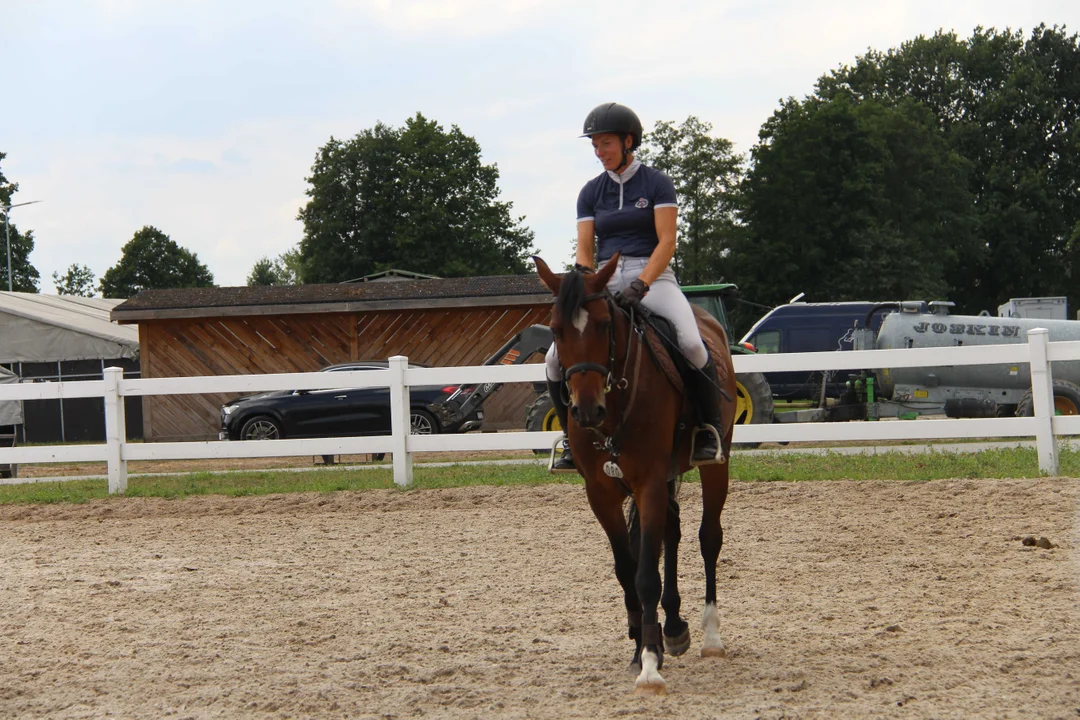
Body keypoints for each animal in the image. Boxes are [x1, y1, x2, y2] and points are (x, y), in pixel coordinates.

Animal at [533, 254, 738, 699]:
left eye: (603, 325)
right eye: (555, 330)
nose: (586, 411)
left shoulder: (648, 484)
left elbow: (646, 575)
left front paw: (649, 665)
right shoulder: (601, 494)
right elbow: (627, 568)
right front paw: (644, 645)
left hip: (717, 465)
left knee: (708, 538)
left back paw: (711, 636)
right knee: (671, 534)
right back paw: (674, 627)